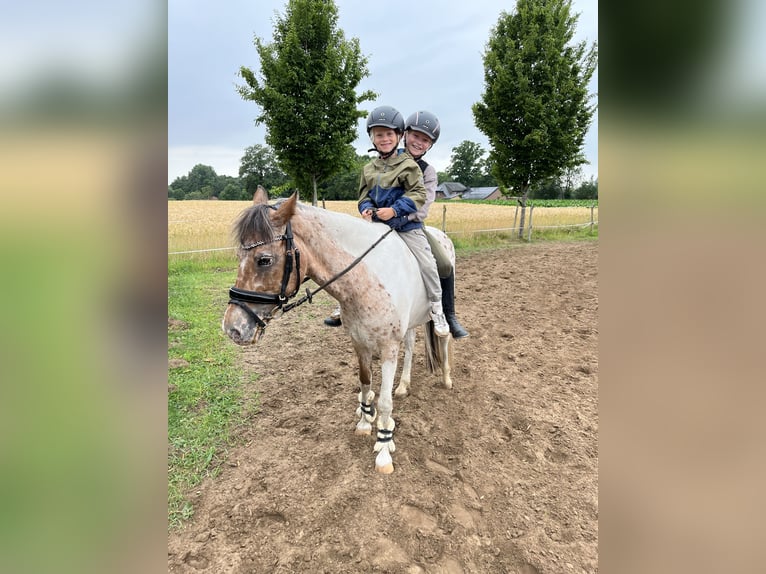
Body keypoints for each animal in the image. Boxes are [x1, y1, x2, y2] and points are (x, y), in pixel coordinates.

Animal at [222, 187, 454, 473]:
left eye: (264, 259)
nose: (233, 328)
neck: (367, 278)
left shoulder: (388, 347)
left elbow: (385, 403)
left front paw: (384, 447)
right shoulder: (359, 343)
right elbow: (365, 383)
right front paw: (365, 422)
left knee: (443, 338)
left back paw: (446, 377)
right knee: (410, 347)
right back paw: (403, 385)